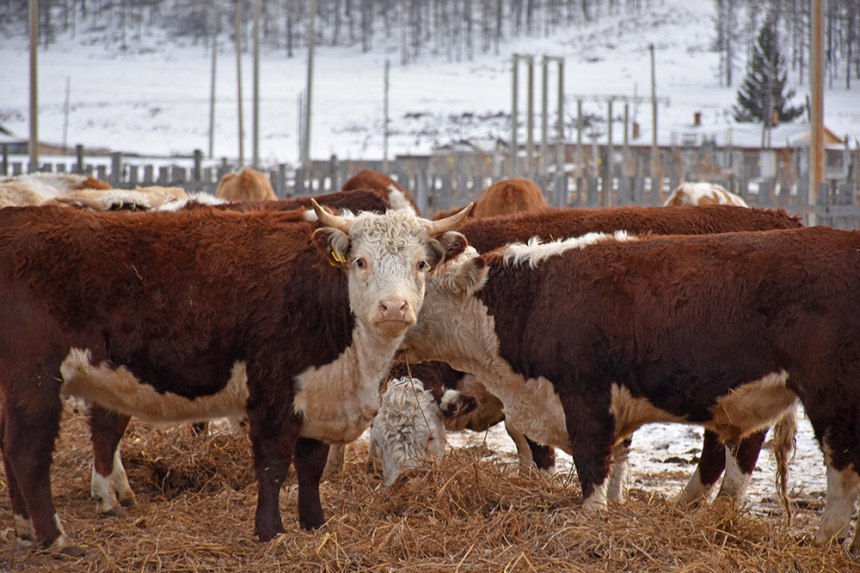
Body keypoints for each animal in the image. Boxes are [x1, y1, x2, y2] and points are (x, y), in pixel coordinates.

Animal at [0, 201, 472, 554]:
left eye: (421, 264)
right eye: (361, 261)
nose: (393, 307)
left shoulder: (317, 395)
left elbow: (311, 467)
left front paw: (314, 525)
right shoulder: (273, 392)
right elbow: (273, 465)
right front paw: (270, 531)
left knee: (11, 447)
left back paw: (25, 529)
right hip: (35, 380)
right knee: (28, 454)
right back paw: (55, 538)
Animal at [399, 227, 860, 556]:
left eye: (419, 274)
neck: (529, 303)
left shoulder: (585, 397)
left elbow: (592, 468)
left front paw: (590, 519)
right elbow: (614, 459)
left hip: (831, 396)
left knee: (841, 471)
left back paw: (825, 541)